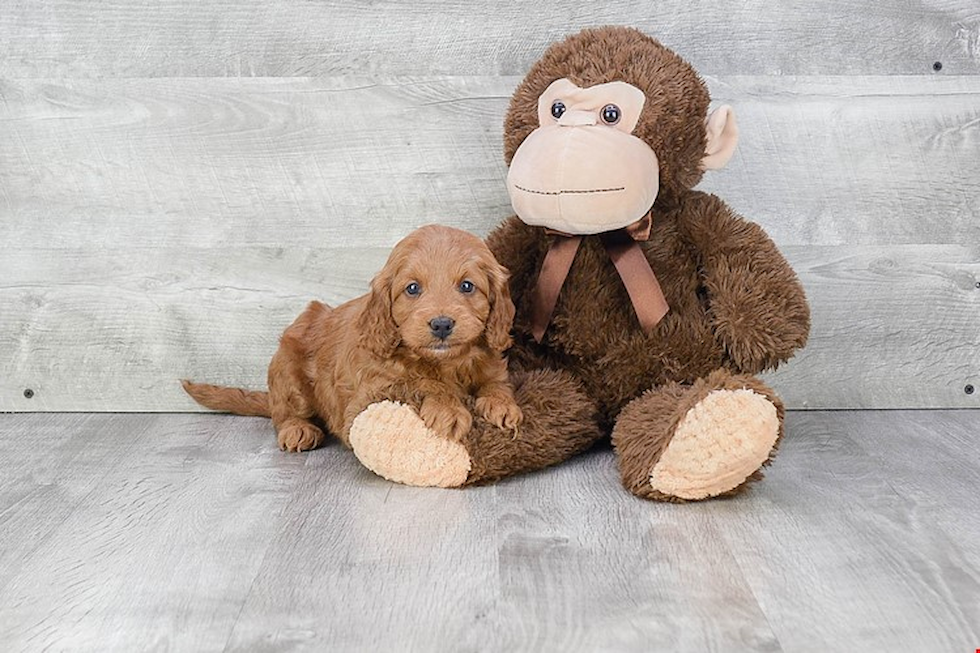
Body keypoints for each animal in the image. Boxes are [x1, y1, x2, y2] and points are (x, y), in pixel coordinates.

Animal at [183, 227, 520, 450]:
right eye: (412, 288)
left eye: (467, 286)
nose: (441, 324)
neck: (445, 363)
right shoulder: (370, 391)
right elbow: (421, 382)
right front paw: (448, 409)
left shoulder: (492, 365)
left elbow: (495, 383)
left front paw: (502, 404)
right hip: (287, 370)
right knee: (283, 413)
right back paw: (297, 430)